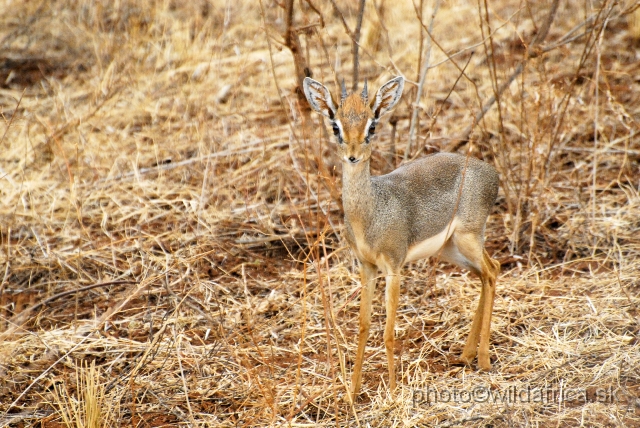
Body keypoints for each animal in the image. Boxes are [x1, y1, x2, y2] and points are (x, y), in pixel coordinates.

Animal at [304, 76, 500, 394]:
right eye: (335, 126)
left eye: (372, 125)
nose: (353, 156)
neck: (371, 214)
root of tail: (492, 172)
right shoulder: (367, 268)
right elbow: (363, 327)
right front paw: (353, 392)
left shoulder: (394, 268)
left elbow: (387, 333)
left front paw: (394, 391)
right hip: (452, 249)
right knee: (486, 274)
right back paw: (465, 355)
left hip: (468, 238)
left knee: (492, 271)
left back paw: (483, 361)